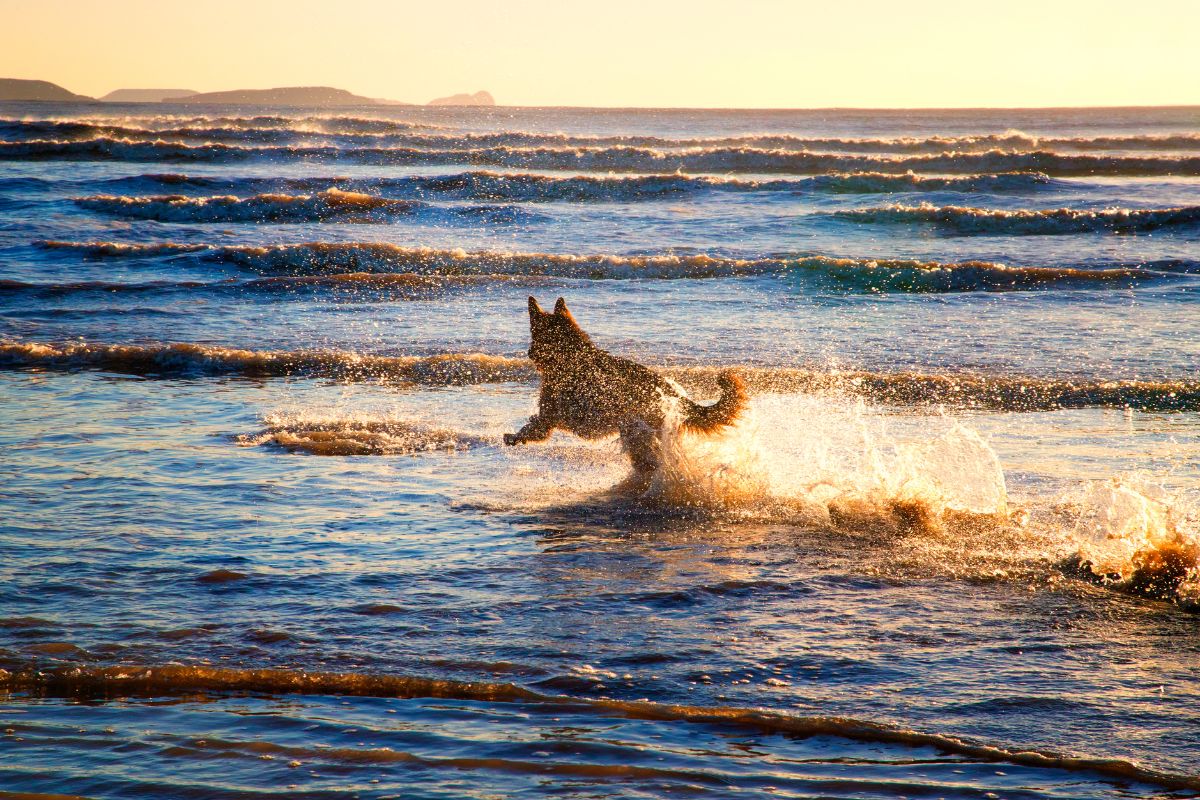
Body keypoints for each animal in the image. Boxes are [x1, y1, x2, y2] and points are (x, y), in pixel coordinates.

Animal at [501, 297, 744, 489]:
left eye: (534, 333)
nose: (529, 353)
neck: (571, 355)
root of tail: (676, 396)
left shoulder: (548, 417)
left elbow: (530, 428)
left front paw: (513, 437)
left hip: (635, 433)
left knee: (649, 463)